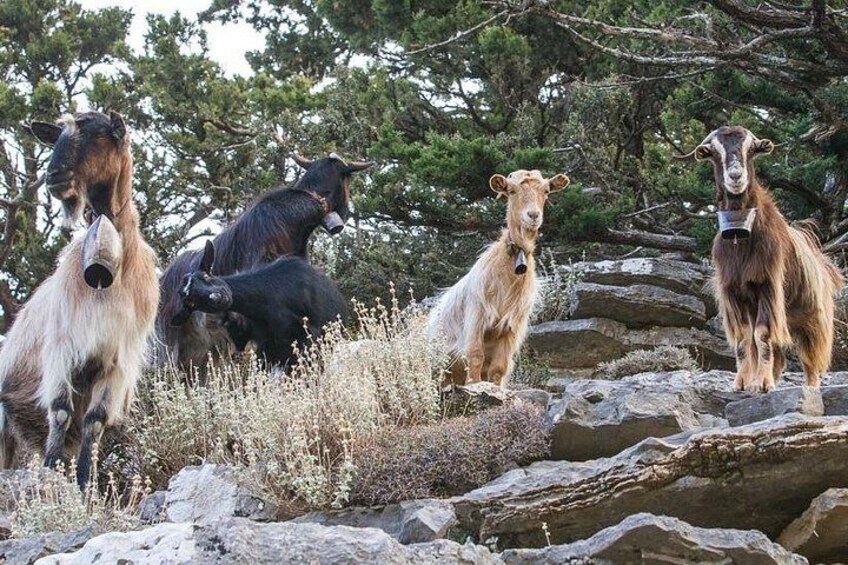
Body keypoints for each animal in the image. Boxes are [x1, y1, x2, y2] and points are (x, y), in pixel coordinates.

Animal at [0, 111, 158, 485]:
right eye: (57, 136)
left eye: (99, 134)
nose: (53, 175)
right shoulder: (63, 347)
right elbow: (60, 411)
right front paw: (51, 471)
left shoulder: (116, 360)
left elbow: (94, 421)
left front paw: (86, 481)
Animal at [427, 170, 568, 386]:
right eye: (511, 190)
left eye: (546, 191)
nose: (533, 215)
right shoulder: (477, 315)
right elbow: (475, 355)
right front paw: (474, 385)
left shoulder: (512, 326)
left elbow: (498, 368)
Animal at [678, 126, 844, 392]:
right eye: (714, 152)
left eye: (751, 150)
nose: (736, 176)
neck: (740, 235)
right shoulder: (734, 292)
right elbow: (745, 338)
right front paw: (742, 382)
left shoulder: (767, 285)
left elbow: (762, 334)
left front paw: (763, 384)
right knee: (778, 356)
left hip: (813, 317)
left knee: (811, 357)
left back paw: (810, 386)